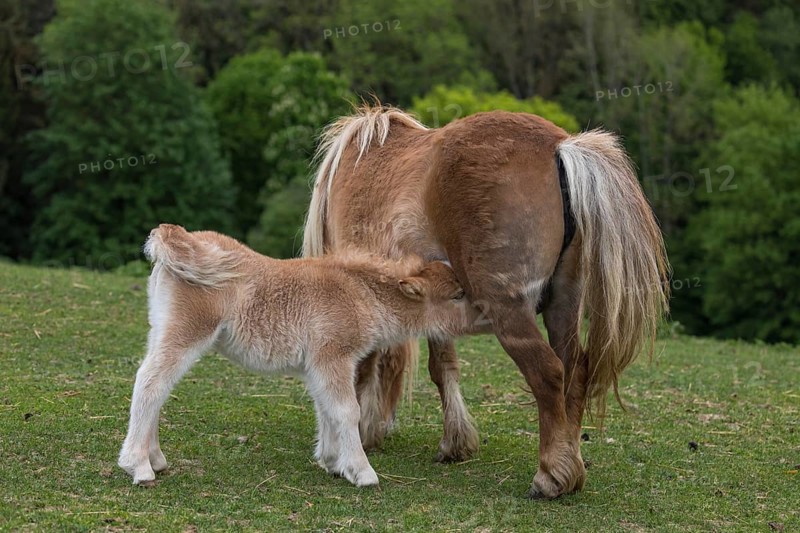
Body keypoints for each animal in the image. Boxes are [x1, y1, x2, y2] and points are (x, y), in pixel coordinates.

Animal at [302, 105, 669, 498]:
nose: (377, 430)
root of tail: (560, 146)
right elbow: (442, 365)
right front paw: (455, 442)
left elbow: (371, 361)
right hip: (565, 304)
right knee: (575, 368)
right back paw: (571, 465)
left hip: (508, 310)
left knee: (548, 372)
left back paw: (551, 475)